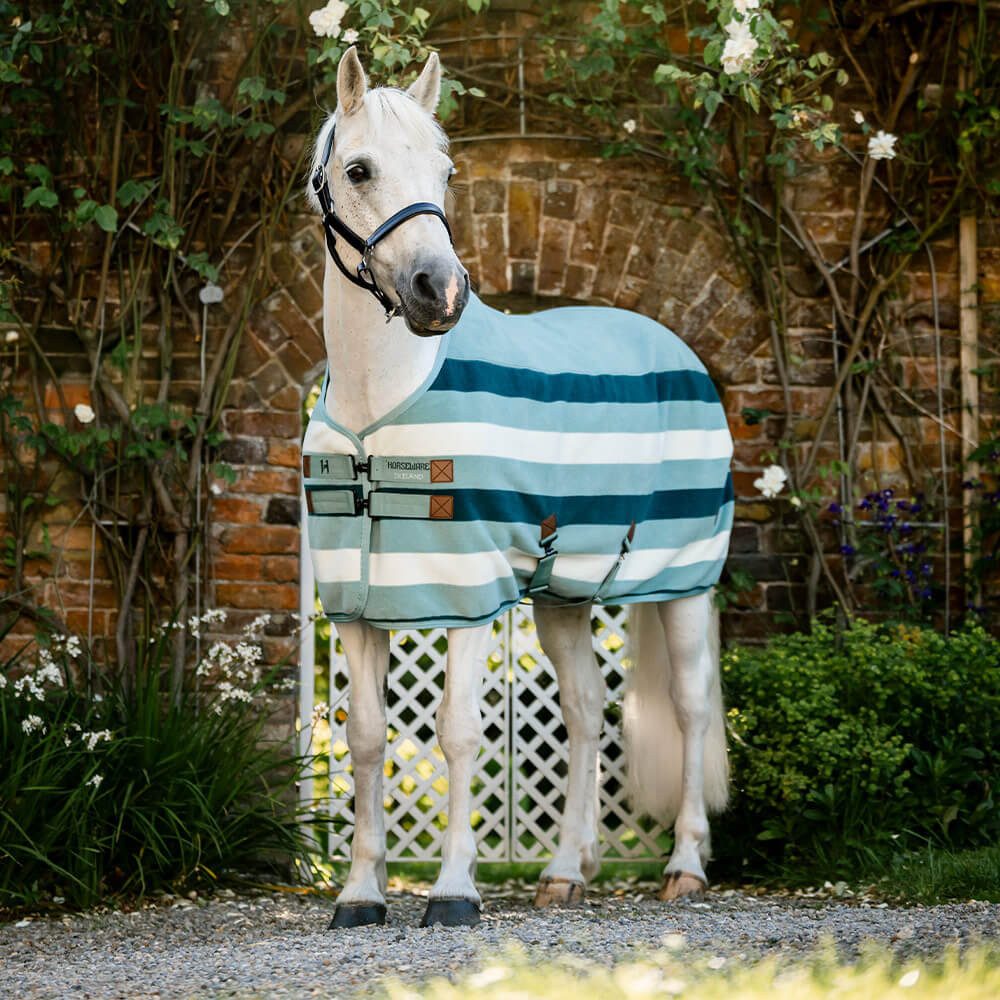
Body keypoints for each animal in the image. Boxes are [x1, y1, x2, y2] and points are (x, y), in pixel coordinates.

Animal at [303, 46, 733, 929]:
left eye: (445, 170)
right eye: (358, 169)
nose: (439, 291)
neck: (377, 408)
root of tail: (676, 349)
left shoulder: (468, 591)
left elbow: (459, 731)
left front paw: (453, 892)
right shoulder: (359, 604)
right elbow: (365, 737)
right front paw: (360, 894)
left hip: (682, 582)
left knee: (691, 707)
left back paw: (684, 866)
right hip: (564, 596)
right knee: (586, 712)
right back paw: (568, 870)